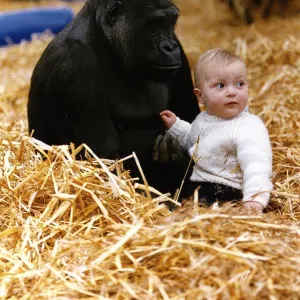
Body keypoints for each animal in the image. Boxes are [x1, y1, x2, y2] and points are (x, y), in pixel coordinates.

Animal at [28, 0, 199, 196]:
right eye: (154, 23)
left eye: (169, 22)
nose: (170, 47)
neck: (105, 40)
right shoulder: (73, 61)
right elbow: (102, 160)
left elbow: (192, 118)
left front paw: (172, 142)